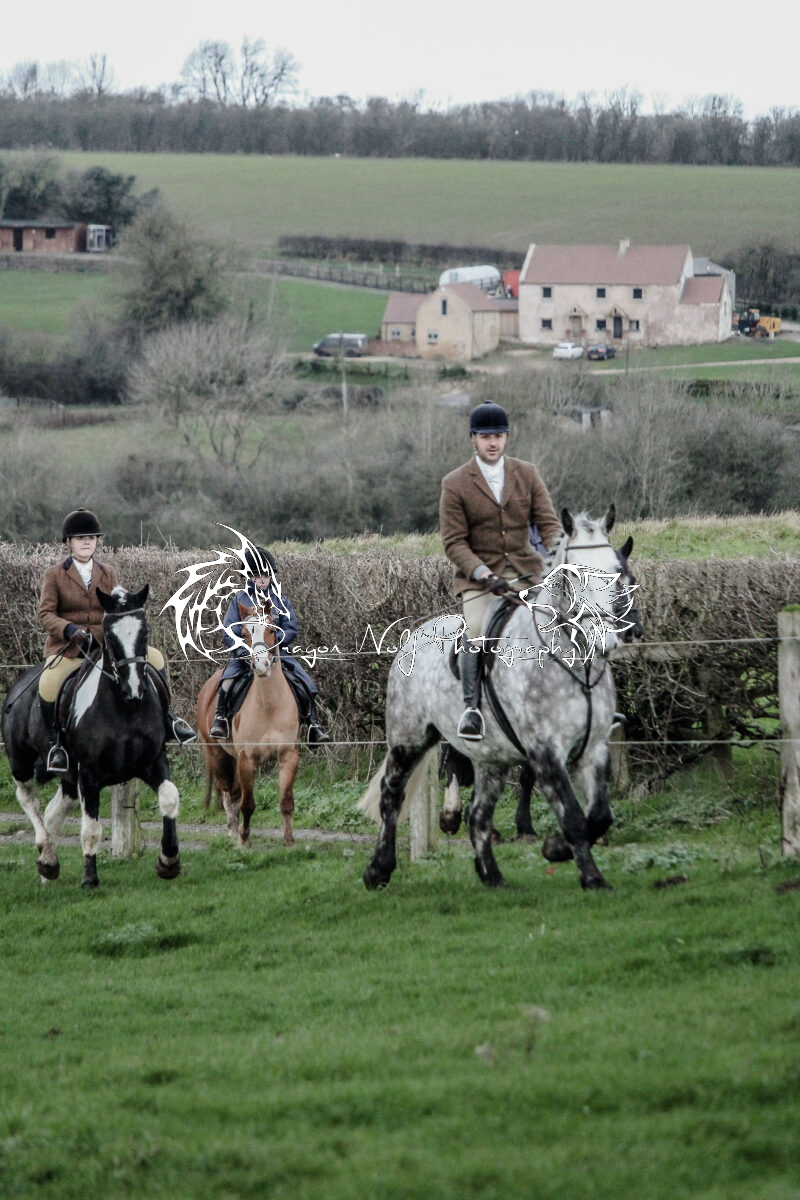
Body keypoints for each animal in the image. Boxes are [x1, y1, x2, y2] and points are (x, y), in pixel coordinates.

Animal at [1, 585, 181, 888]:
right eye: (109, 635)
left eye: (144, 631)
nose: (134, 690)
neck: (126, 709)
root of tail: (18, 686)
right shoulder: (89, 774)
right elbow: (91, 828)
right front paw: (89, 877)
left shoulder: (153, 761)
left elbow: (170, 798)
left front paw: (168, 861)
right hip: (21, 762)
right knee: (28, 799)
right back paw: (47, 859)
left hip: (67, 777)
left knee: (53, 812)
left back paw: (47, 869)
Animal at [196, 599, 301, 848]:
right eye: (244, 633)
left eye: (271, 630)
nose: (260, 665)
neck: (269, 705)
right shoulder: (247, 759)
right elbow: (248, 804)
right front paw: (244, 840)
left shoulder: (288, 756)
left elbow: (286, 801)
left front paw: (289, 841)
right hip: (217, 753)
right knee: (226, 791)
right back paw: (234, 831)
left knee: (232, 792)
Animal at [359, 505, 642, 892]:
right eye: (575, 574)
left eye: (618, 573)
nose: (610, 637)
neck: (574, 664)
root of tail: (416, 633)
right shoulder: (545, 750)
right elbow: (573, 816)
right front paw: (590, 876)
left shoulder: (594, 747)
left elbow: (599, 815)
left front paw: (556, 848)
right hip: (409, 738)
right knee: (392, 794)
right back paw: (378, 870)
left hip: (489, 757)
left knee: (478, 814)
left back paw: (491, 875)